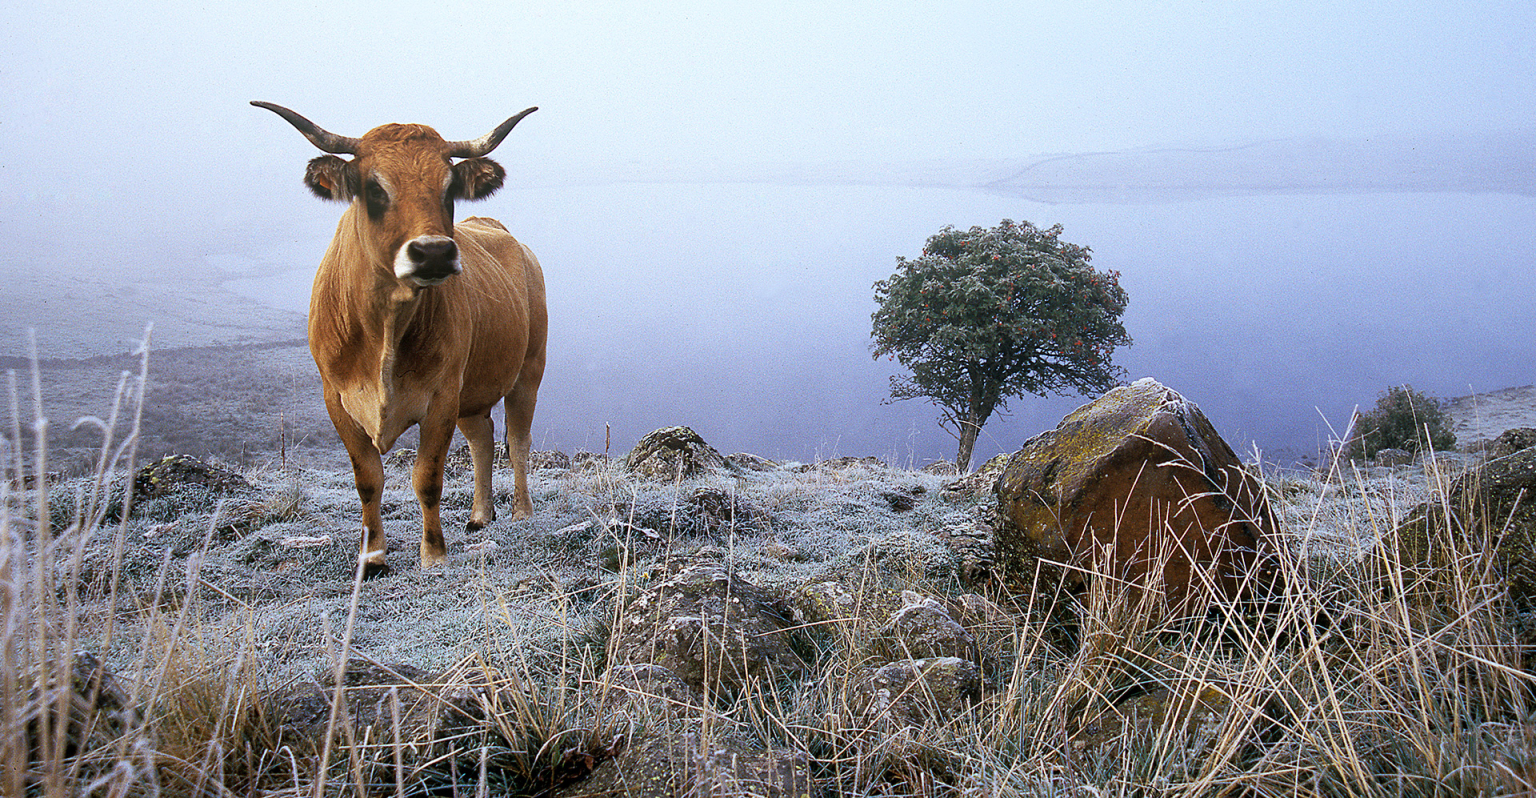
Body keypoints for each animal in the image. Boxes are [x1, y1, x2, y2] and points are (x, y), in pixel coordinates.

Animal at [247, 102, 546, 577]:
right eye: (374, 188)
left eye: (449, 187)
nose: (434, 252)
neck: (385, 330)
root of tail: (495, 226)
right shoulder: (337, 399)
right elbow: (368, 479)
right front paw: (372, 558)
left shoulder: (441, 397)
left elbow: (427, 478)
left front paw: (434, 554)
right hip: (472, 389)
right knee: (482, 439)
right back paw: (481, 515)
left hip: (527, 371)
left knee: (517, 441)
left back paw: (521, 511)